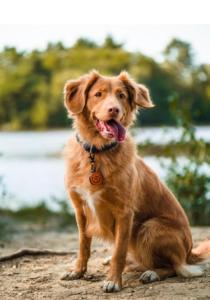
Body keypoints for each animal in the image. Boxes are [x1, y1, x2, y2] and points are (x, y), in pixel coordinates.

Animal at [62, 71, 210, 292]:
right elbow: (83, 245)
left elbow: (119, 252)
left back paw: (152, 273)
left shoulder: (124, 212)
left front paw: (113, 281)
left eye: (121, 96)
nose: (114, 109)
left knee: (176, 267)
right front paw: (78, 271)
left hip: (149, 228)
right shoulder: (80, 208)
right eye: (98, 94)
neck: (98, 152)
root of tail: (190, 252)